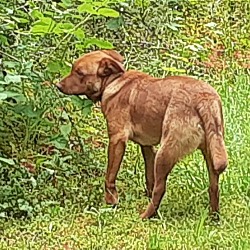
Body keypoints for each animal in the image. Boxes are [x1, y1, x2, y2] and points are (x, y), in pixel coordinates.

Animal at [57, 49, 229, 219]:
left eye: (79, 72)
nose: (57, 85)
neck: (114, 81)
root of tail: (204, 99)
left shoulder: (117, 140)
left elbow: (110, 177)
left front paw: (111, 201)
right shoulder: (147, 146)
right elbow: (149, 176)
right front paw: (146, 193)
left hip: (165, 153)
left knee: (161, 189)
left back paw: (145, 216)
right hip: (211, 153)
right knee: (214, 187)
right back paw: (214, 217)